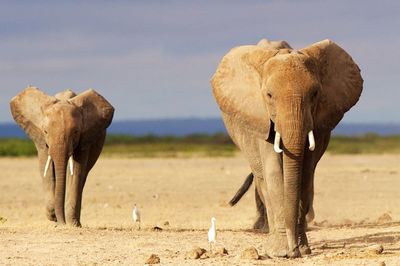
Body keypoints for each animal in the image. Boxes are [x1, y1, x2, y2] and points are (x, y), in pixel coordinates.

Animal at [10, 85, 114, 227]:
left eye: (75, 132)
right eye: (45, 131)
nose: (61, 222)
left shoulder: (85, 137)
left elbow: (76, 172)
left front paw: (71, 225)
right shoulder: (41, 140)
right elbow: (46, 169)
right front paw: (54, 215)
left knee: (83, 177)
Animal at [211, 38, 364, 256]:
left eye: (315, 94)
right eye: (269, 95)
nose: (293, 250)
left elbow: (305, 174)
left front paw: (302, 249)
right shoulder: (262, 118)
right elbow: (274, 173)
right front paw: (282, 252)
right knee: (261, 178)